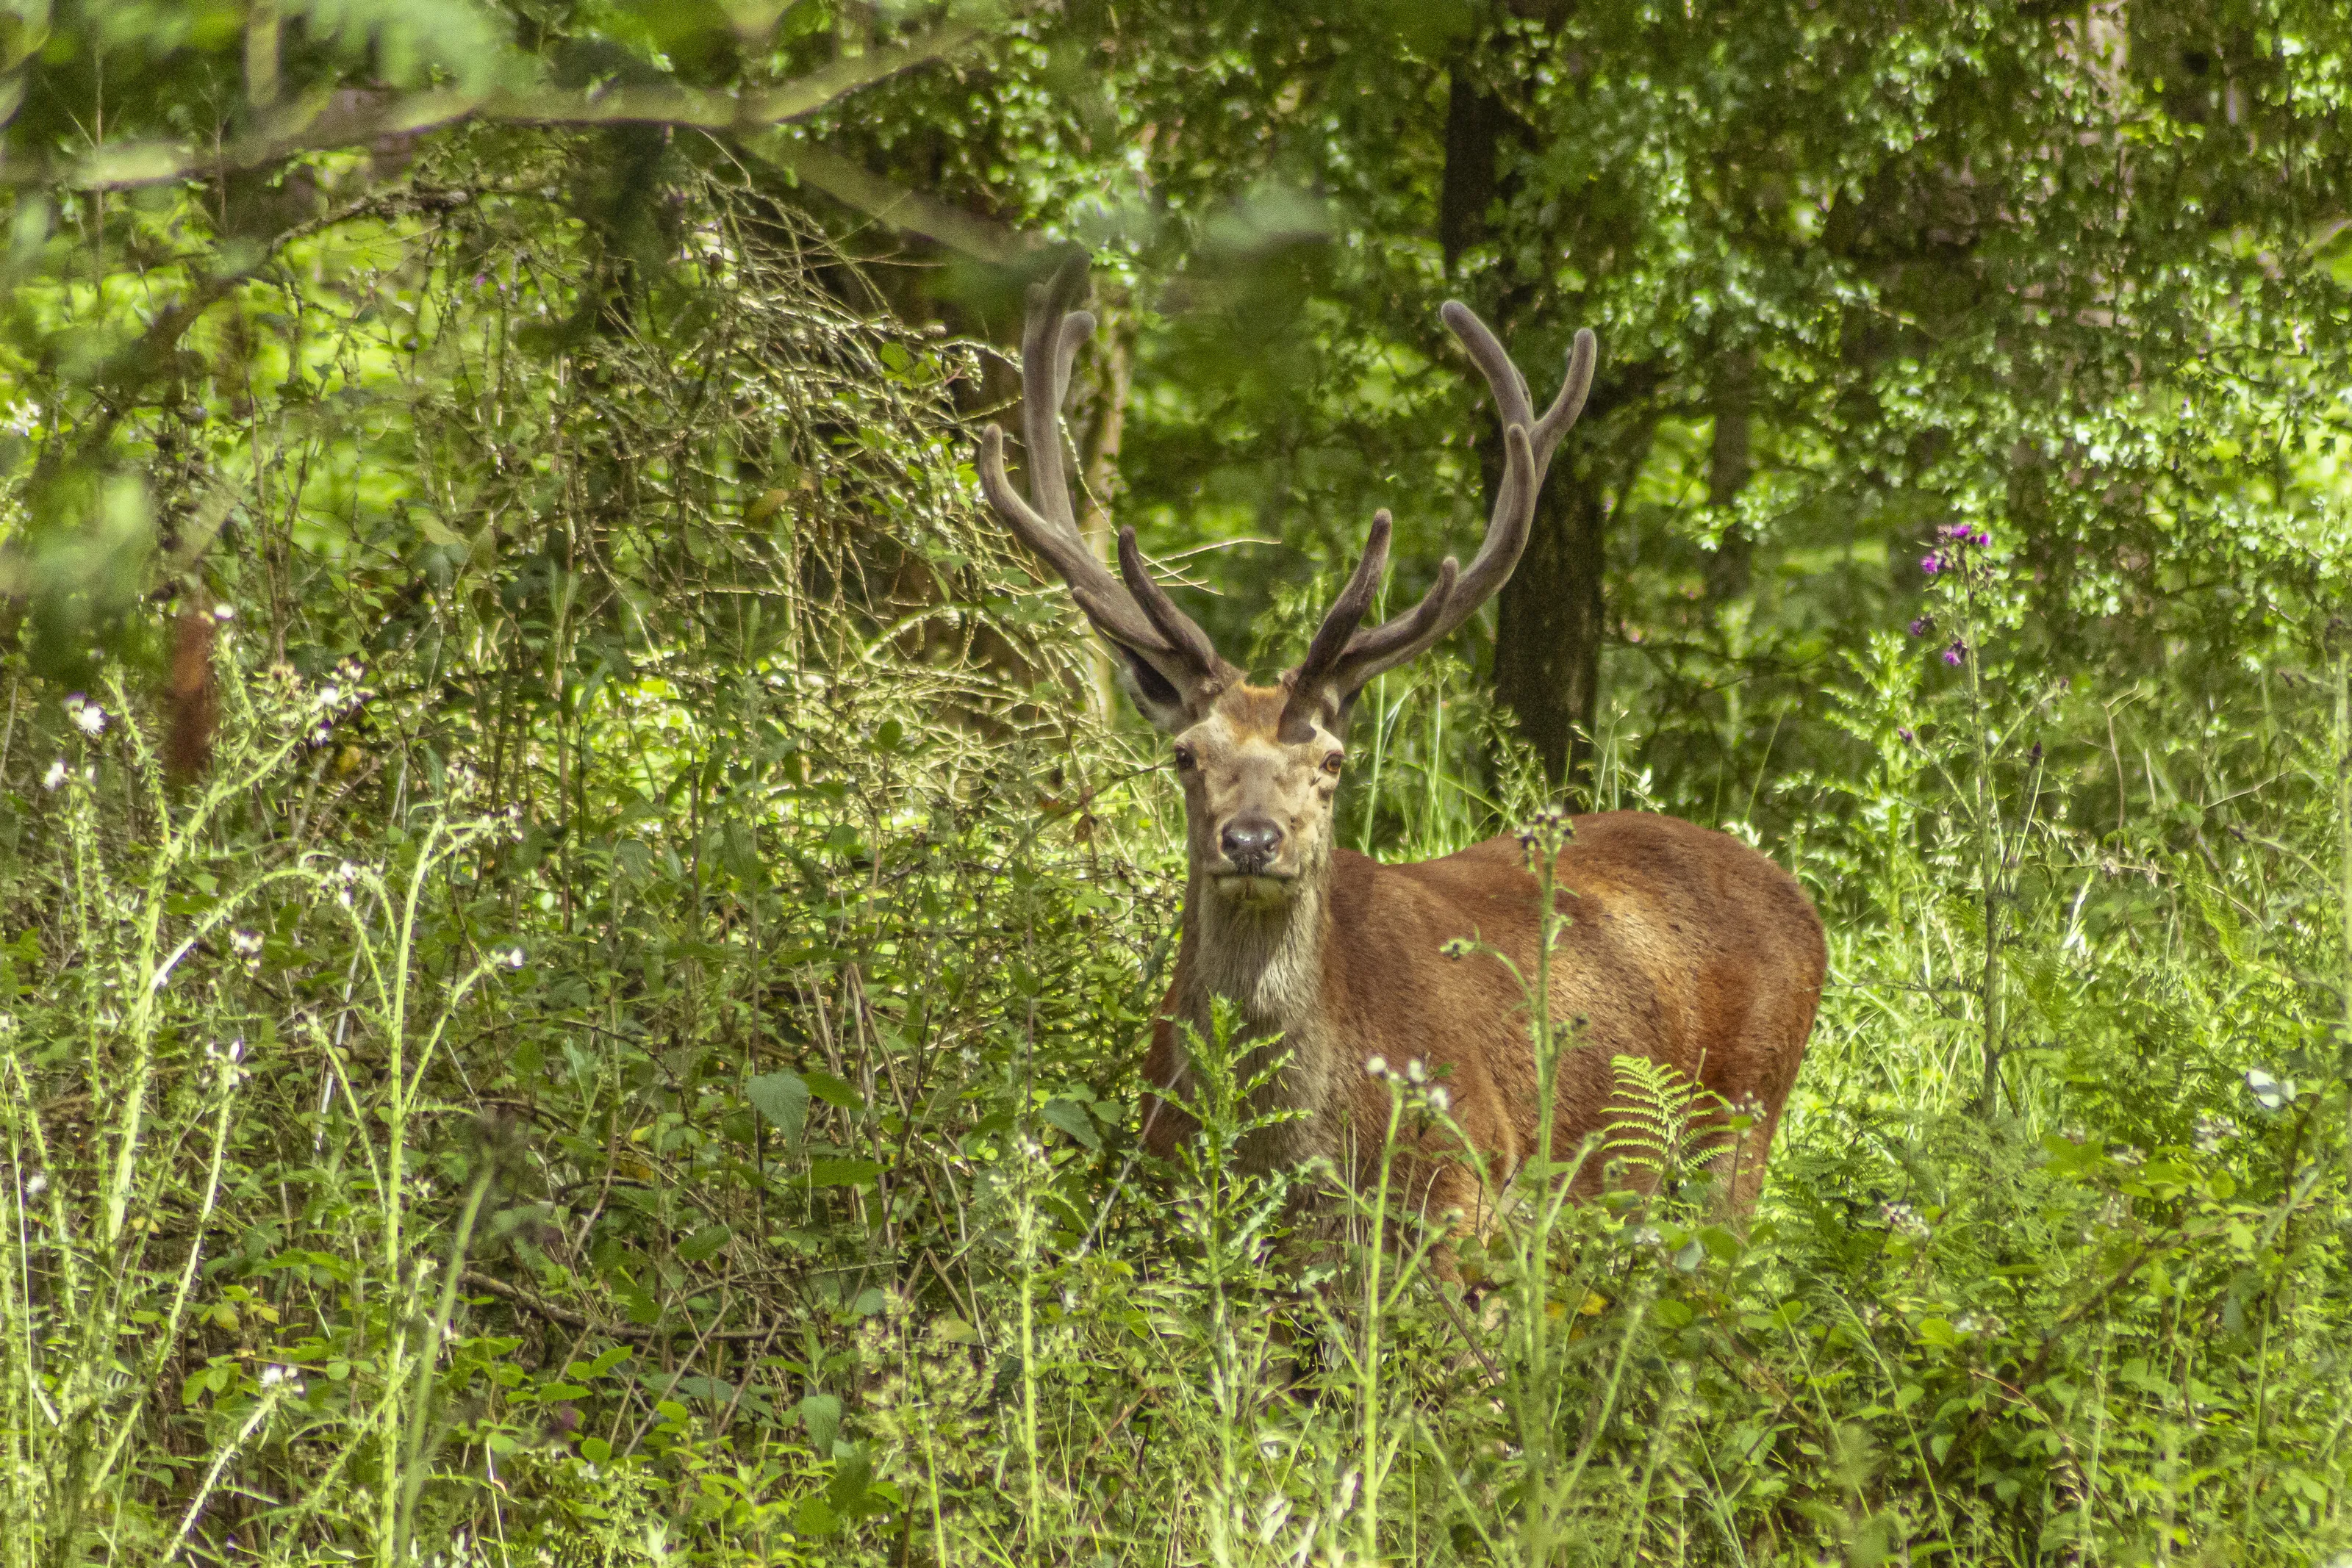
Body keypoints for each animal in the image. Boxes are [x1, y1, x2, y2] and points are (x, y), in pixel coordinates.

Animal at [976, 255, 1826, 1236]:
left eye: (1330, 761)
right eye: (1185, 754)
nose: (1251, 841)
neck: (1287, 1146)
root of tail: (1803, 905)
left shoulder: (1467, 1184)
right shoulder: (1166, 1187)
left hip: (1742, 1121)